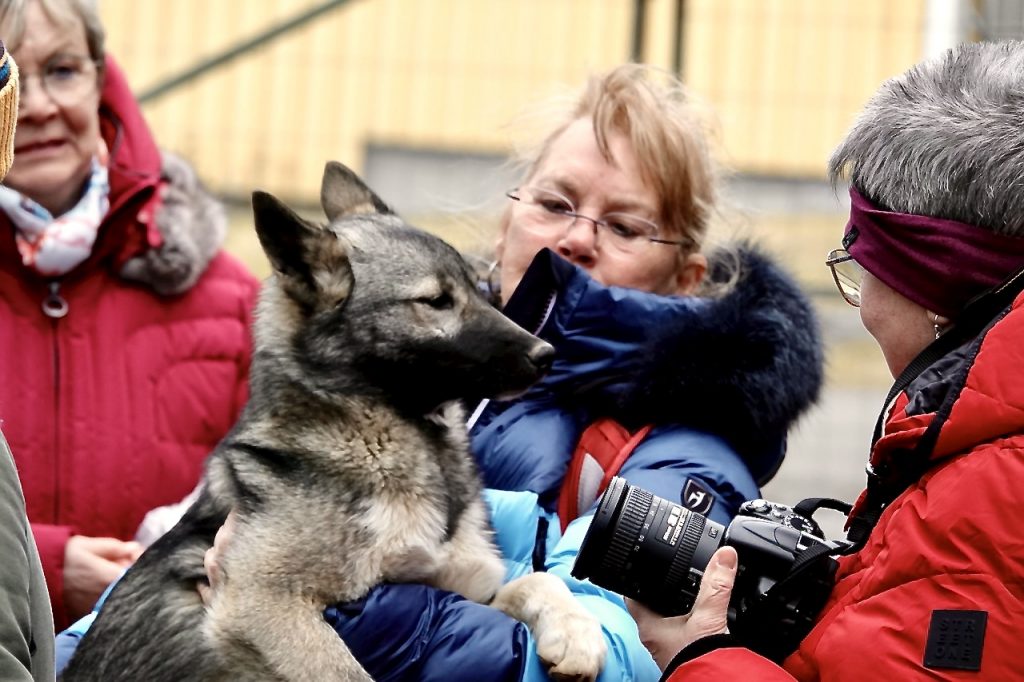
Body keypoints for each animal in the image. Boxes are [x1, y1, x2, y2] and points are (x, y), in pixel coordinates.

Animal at [60, 162, 606, 681]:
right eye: (435, 301)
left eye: (483, 291)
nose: (546, 354)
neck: (383, 432)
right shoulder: (265, 605)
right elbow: (350, 674)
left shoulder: (466, 591)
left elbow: (540, 580)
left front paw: (577, 632)